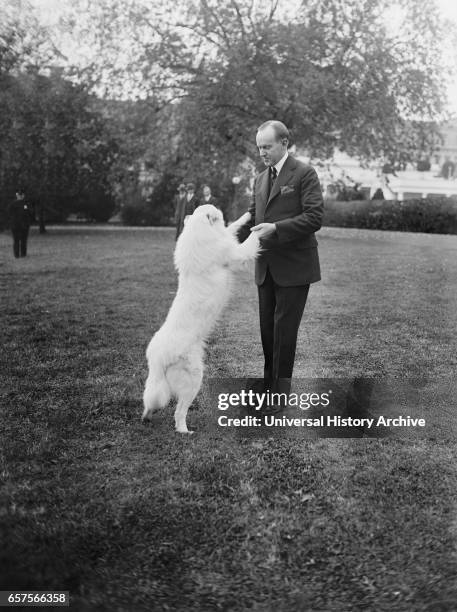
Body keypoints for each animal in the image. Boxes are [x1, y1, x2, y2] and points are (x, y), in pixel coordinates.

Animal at [142, 206, 260, 436]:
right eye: (218, 211)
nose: (220, 210)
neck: (199, 231)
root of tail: (158, 358)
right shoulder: (236, 253)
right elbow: (250, 240)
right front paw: (262, 228)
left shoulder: (226, 238)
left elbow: (232, 227)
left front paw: (248, 216)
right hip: (194, 379)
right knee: (179, 411)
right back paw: (184, 430)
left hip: (158, 382)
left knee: (151, 399)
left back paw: (146, 416)